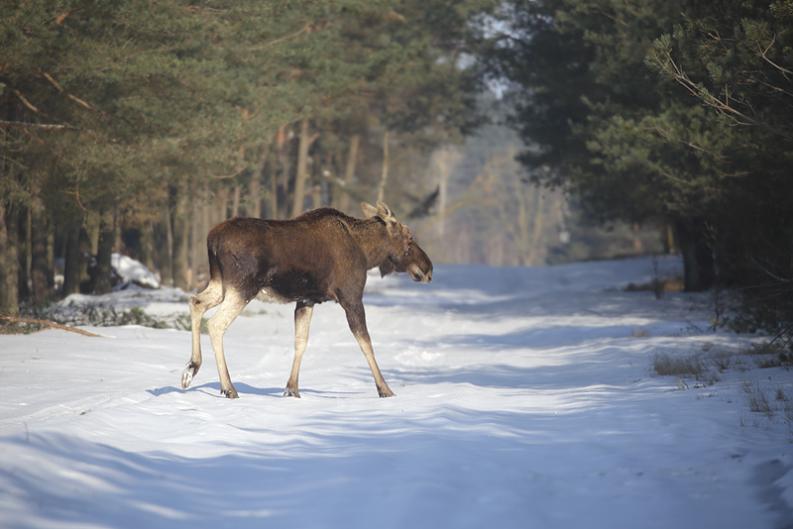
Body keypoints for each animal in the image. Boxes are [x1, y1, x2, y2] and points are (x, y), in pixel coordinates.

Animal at [181, 200, 434, 398]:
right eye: (409, 238)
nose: (428, 268)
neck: (367, 252)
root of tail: (211, 240)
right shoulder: (351, 296)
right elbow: (366, 342)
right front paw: (385, 389)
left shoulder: (306, 300)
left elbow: (300, 342)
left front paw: (292, 388)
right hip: (243, 287)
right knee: (216, 324)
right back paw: (228, 387)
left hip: (221, 284)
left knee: (196, 302)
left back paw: (191, 368)